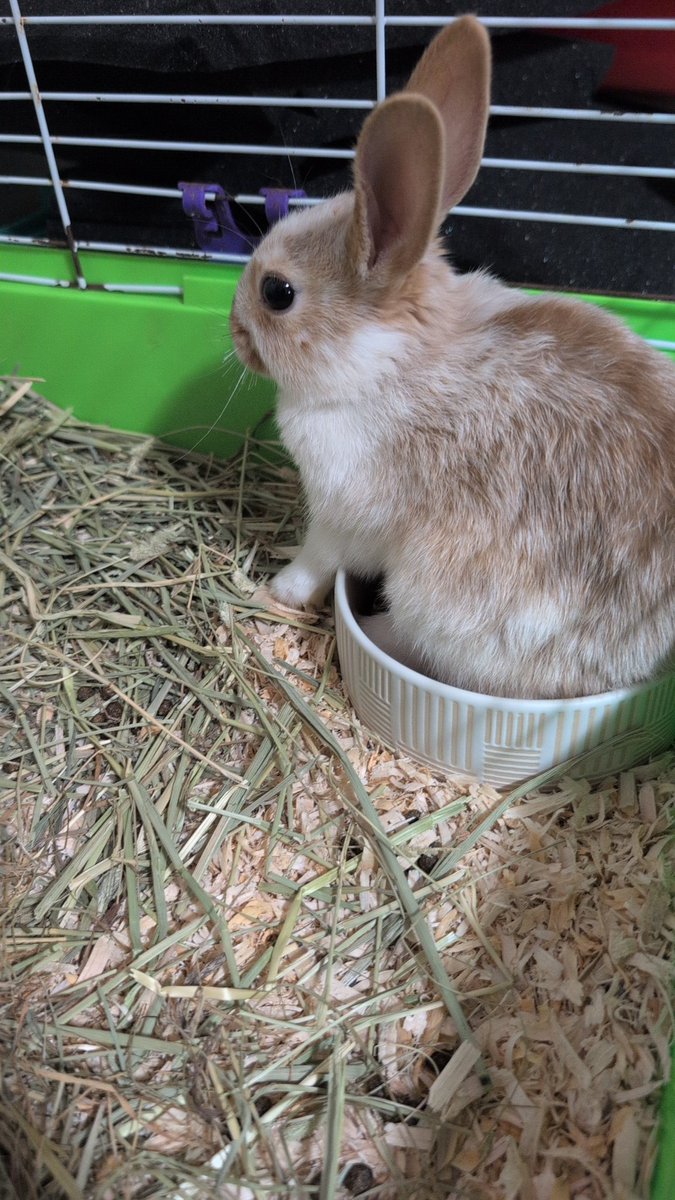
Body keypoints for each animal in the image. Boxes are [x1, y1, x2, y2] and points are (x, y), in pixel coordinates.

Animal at [230, 15, 675, 700]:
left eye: (277, 293)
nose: (233, 329)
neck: (387, 363)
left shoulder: (340, 515)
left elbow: (315, 561)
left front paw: (272, 590)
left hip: (438, 601)